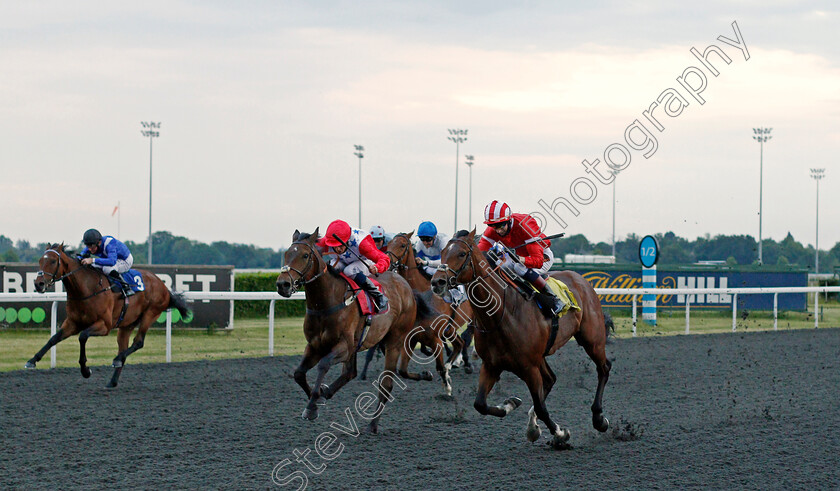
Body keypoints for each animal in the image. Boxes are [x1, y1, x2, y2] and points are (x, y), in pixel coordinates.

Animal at [25, 242, 193, 388]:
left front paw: (86, 370)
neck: (86, 289)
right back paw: (113, 380)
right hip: (127, 324)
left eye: (53, 261)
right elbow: (53, 339)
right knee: (123, 347)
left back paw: (117, 359)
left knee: (138, 342)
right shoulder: (72, 323)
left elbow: (82, 336)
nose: (38, 284)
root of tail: (163, 286)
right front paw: (32, 360)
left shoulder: (104, 325)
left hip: (150, 313)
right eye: (40, 260)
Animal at [278, 231, 436, 434]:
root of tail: (406, 286)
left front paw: (313, 404)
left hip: (394, 340)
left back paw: (373, 425)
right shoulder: (314, 345)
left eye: (305, 255)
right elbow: (298, 373)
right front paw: (316, 398)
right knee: (351, 373)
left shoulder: (343, 346)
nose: (282, 284)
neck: (326, 302)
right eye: (287, 254)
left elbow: (323, 365)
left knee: (386, 384)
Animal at [430, 231, 612, 450]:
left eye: (462, 253)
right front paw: (510, 404)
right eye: (442, 252)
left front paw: (560, 434)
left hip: (592, 339)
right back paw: (533, 426)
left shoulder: (528, 367)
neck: (501, 315)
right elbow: (480, 404)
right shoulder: (491, 365)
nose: (437, 282)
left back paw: (599, 418)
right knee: (551, 379)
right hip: (543, 354)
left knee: (603, 368)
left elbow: (542, 407)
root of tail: (581, 279)